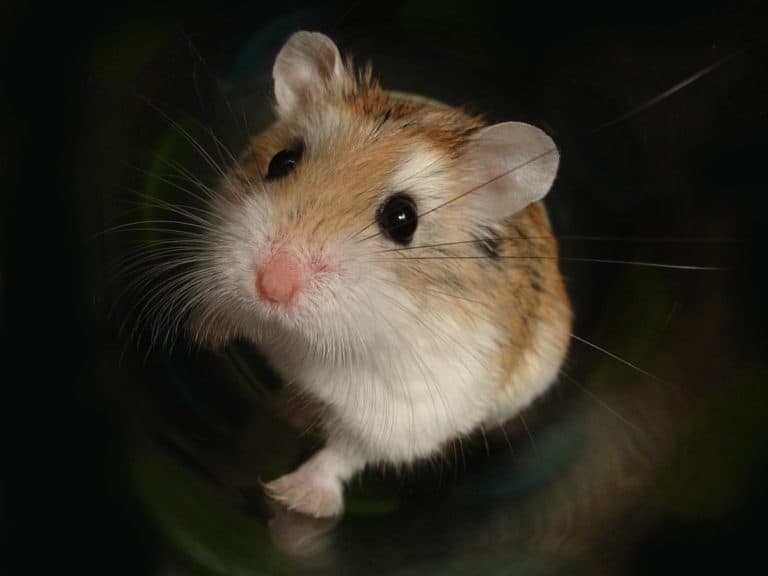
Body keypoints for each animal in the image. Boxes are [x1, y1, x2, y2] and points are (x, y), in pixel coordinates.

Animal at [184, 31, 572, 517]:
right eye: (282, 162)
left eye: (402, 219)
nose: (271, 286)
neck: (301, 338)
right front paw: (202, 331)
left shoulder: (405, 414)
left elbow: (345, 453)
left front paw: (294, 501)